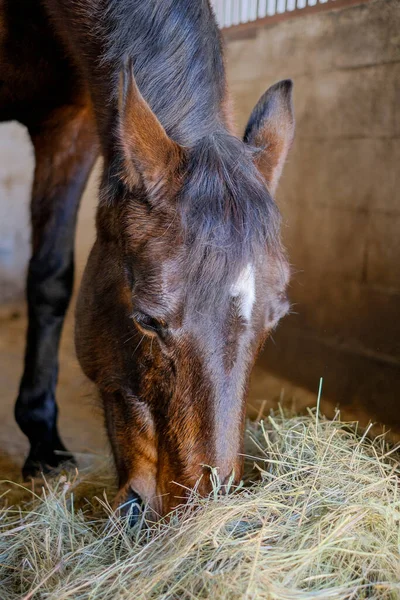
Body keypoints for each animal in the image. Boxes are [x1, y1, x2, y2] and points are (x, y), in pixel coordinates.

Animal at [0, 0, 294, 516]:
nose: (198, 510)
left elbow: (50, 277)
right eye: (146, 320)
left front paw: (44, 444)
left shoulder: (70, 121)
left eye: (274, 320)